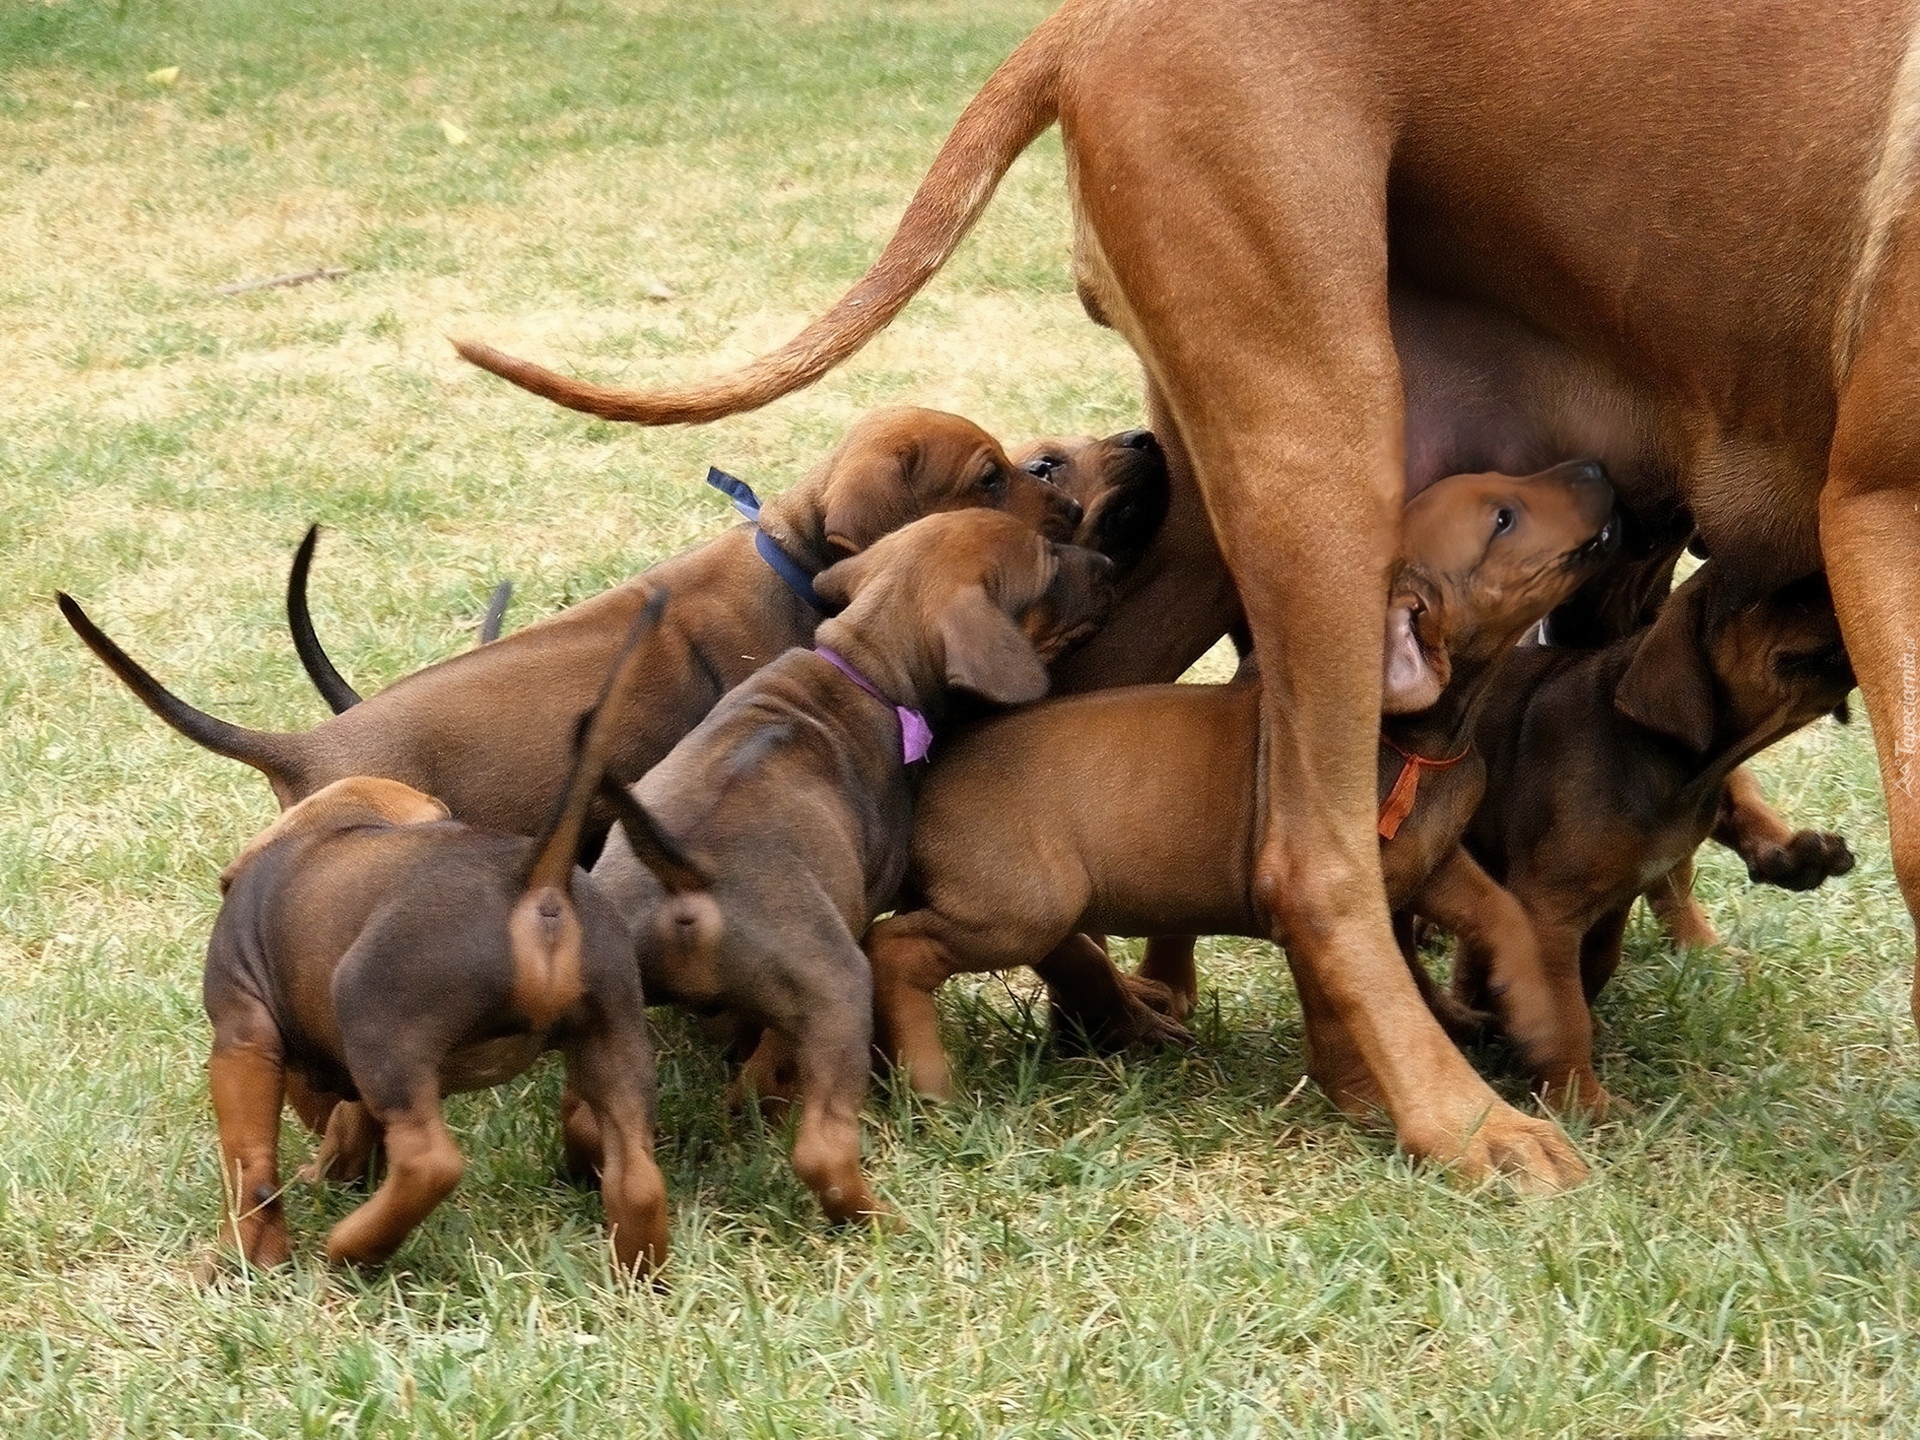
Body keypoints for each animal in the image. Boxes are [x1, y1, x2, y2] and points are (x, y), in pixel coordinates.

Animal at [591, 514, 1121, 1221]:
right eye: (1049, 565)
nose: (1109, 562)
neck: (866, 668)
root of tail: (684, 874)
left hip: (606, 1018)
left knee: (609, 1148)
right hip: (838, 986)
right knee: (821, 1148)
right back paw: (879, 1220)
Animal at [875, 464, 1620, 1159]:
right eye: (1503, 518)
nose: (1593, 470)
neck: (1417, 745)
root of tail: (925, 775)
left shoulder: (1432, 865)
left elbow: (1505, 918)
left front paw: (1537, 1019)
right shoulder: (1312, 904)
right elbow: (1338, 1013)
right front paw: (1361, 1102)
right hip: (1020, 909)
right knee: (895, 949)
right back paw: (928, 1077)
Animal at [1443, 568, 1866, 1113]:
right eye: (1781, 593)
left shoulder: (1612, 897)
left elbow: (1593, 968)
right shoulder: (1547, 911)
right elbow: (1562, 1013)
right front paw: (1582, 1104)